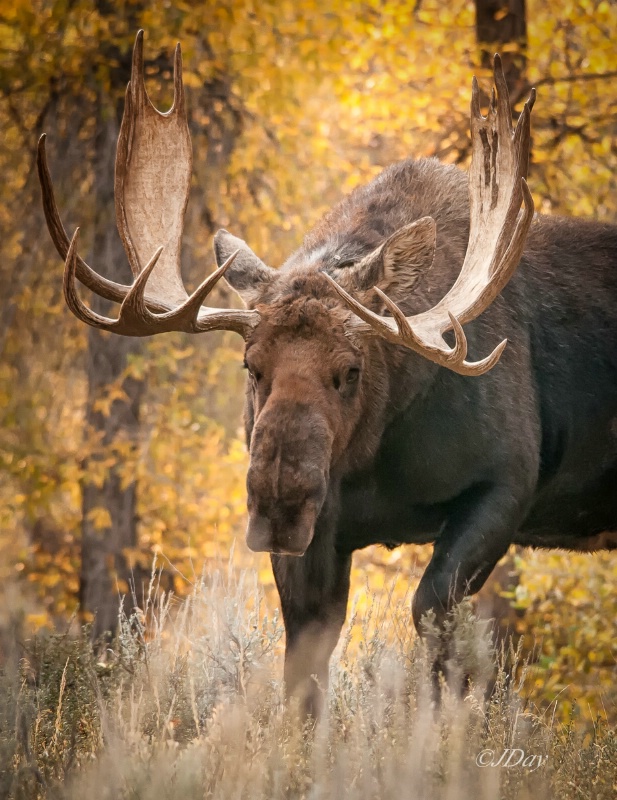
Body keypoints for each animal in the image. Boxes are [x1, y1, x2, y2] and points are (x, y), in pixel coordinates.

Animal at [38, 32, 616, 720]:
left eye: (351, 370)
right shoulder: (317, 545)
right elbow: (305, 676)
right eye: (251, 366)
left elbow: (435, 628)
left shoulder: (508, 482)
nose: (279, 503)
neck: (376, 457)